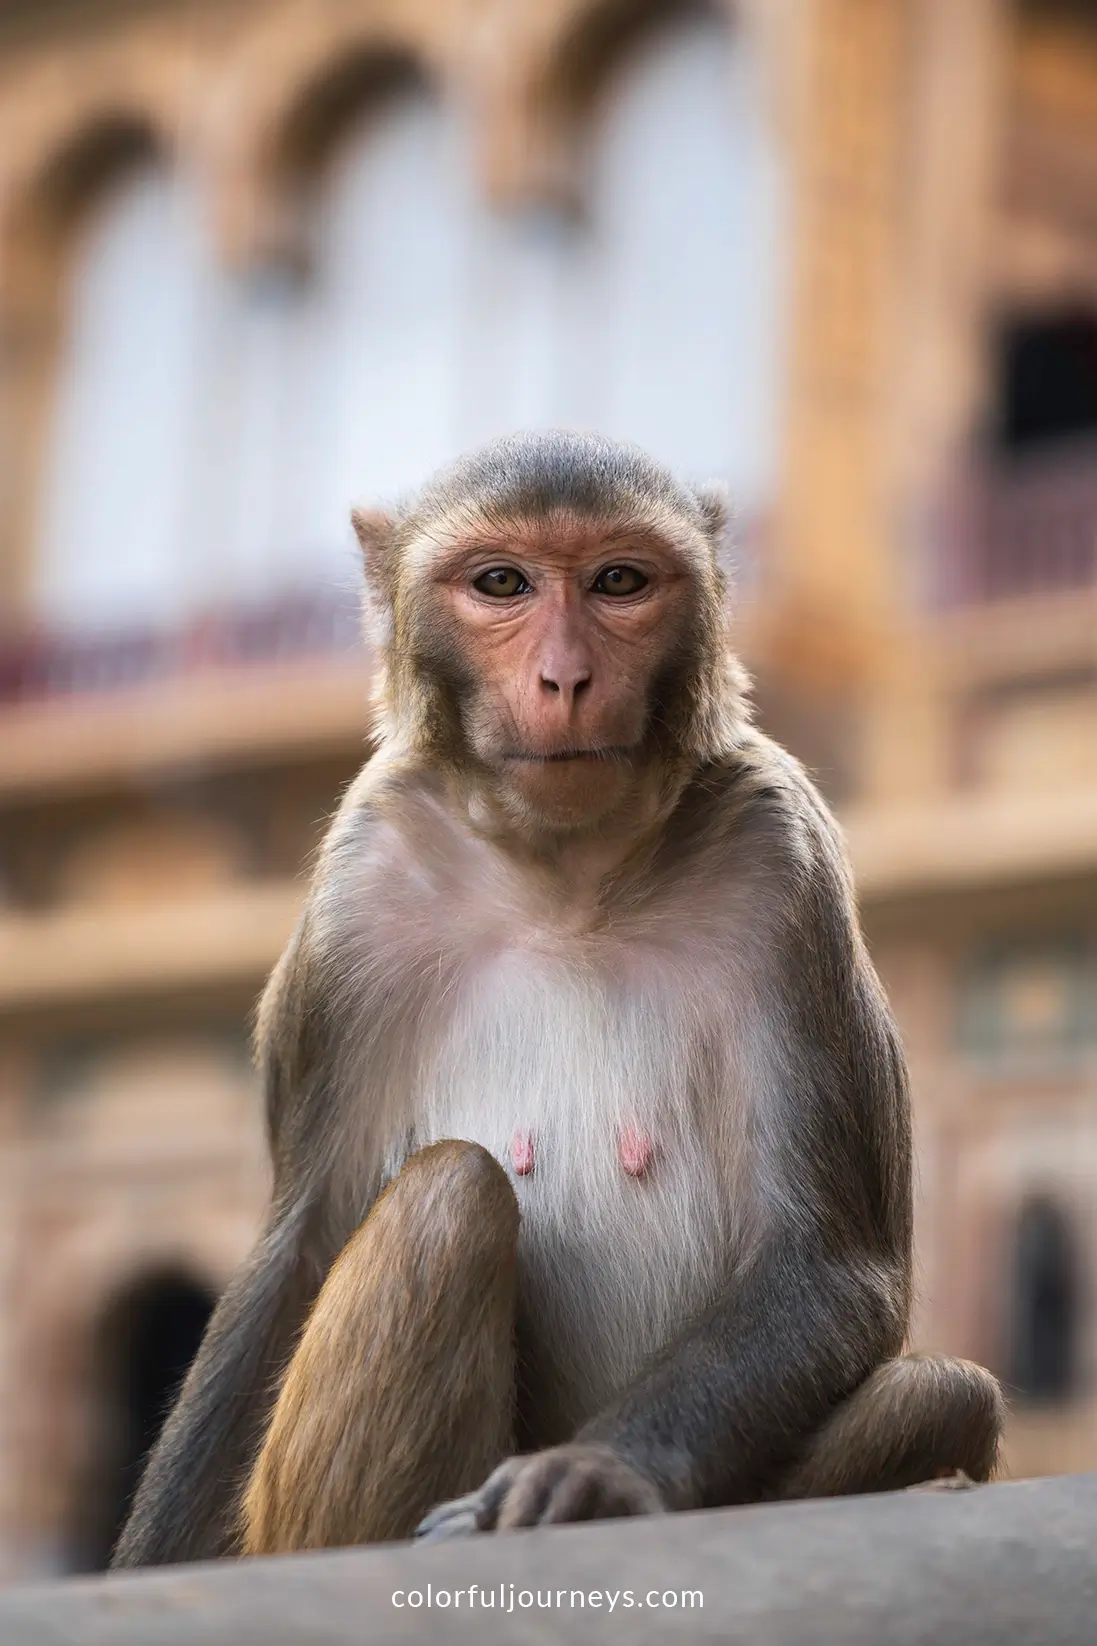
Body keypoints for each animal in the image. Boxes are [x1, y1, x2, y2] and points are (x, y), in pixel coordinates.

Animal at [112, 430, 1004, 1567]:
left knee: (943, 1394)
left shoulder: (782, 859)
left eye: (619, 582)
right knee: (450, 1199)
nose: (565, 676)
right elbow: (297, 1247)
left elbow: (829, 1262)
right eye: (501, 583)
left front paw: (594, 1475)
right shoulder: (362, 881)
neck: (564, 877)